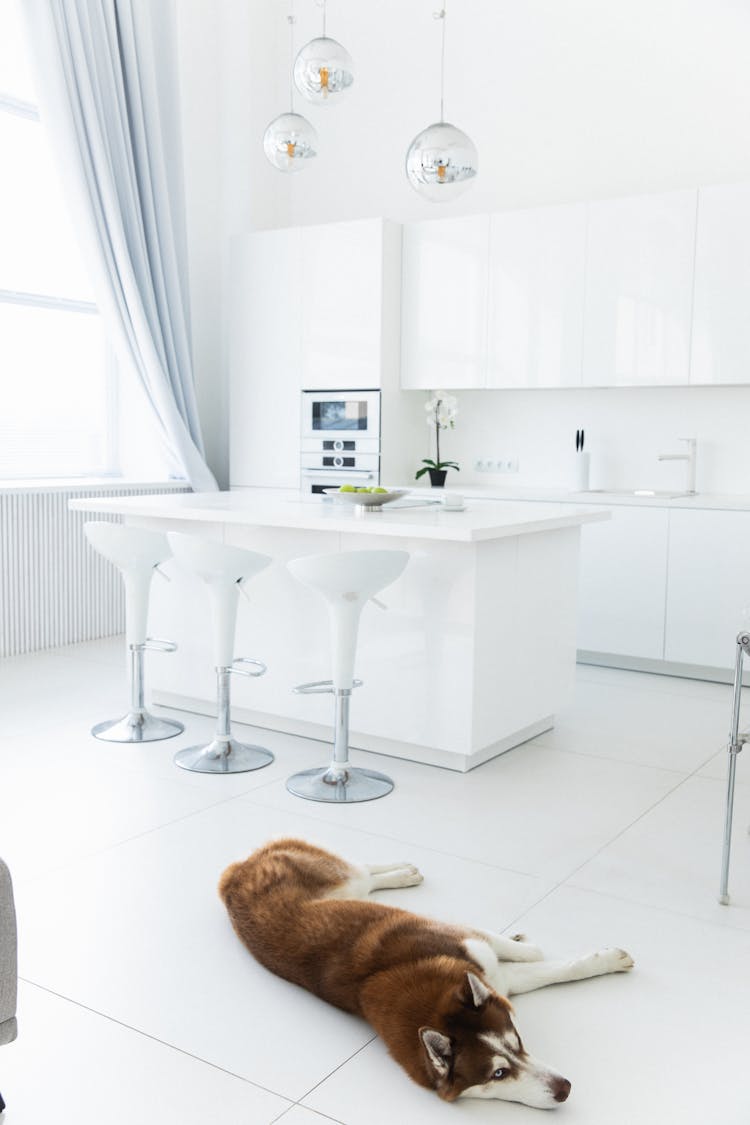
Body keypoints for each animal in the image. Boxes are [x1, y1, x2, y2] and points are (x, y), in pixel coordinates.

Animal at [220, 837, 638, 1107]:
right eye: (498, 1075)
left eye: (517, 1040)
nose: (565, 1088)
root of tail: (232, 878)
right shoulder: (491, 973)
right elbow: (542, 966)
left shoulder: (471, 947)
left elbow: (527, 954)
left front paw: (534, 945)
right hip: (343, 880)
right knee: (363, 873)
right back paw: (402, 874)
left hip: (344, 878)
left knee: (362, 868)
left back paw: (402, 872)